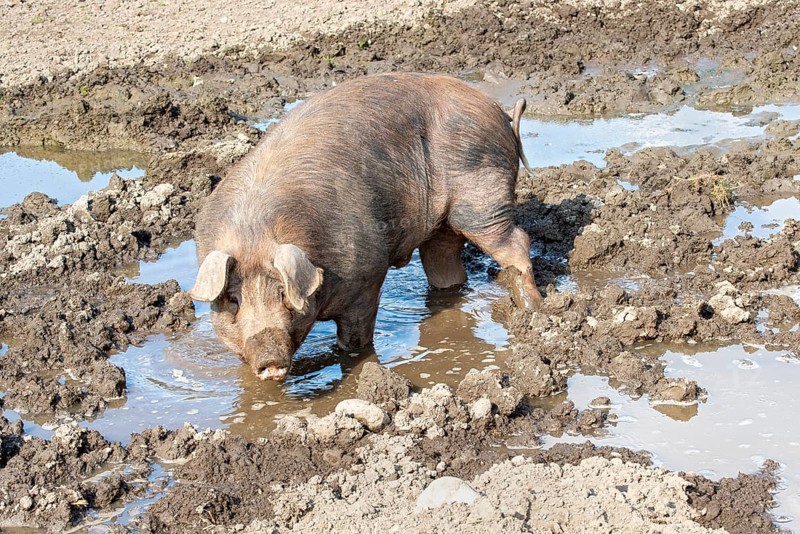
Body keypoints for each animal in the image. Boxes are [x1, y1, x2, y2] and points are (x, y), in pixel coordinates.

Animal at [190, 72, 542, 380]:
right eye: (233, 300)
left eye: (282, 293)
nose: (269, 360)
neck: (256, 233)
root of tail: (499, 111)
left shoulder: (367, 275)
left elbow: (355, 337)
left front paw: (355, 360)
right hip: (444, 225)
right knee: (444, 261)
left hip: (482, 199)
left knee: (517, 242)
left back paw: (533, 310)